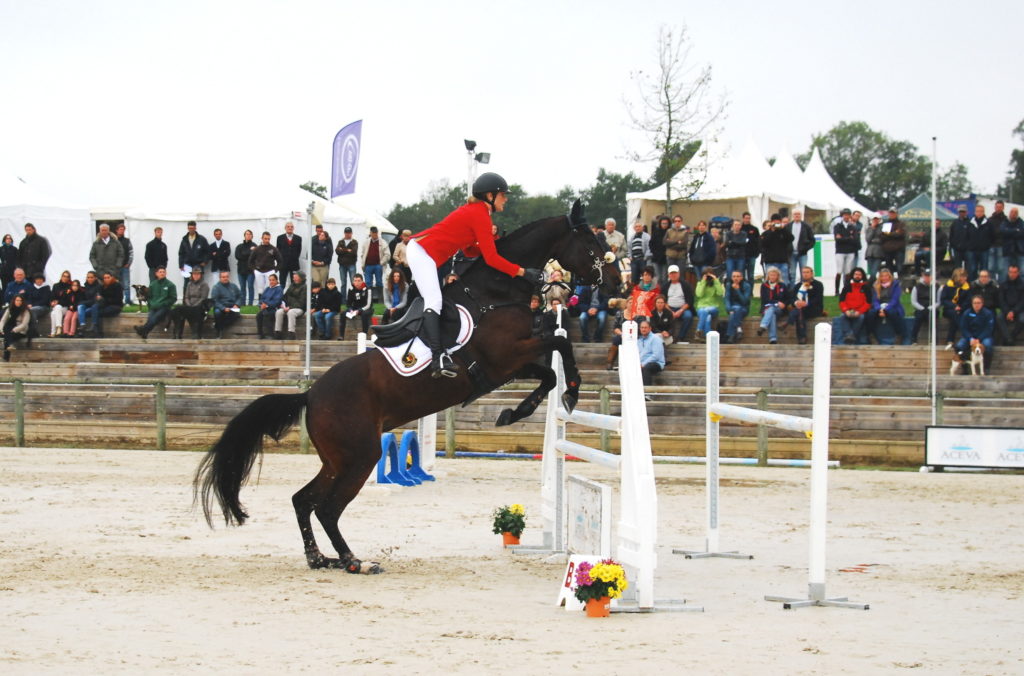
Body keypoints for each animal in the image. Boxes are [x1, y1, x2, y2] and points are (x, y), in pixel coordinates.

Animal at [194, 201, 618, 577]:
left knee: (304, 500)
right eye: (591, 242)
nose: (615, 281)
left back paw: (320, 559)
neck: (494, 295)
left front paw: (517, 411)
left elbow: (548, 373)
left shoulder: (508, 365)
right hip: (360, 456)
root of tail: (311, 395)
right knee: (327, 508)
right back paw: (355, 561)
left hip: (337, 459)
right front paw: (571, 392)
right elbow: (560, 344)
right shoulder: (507, 355)